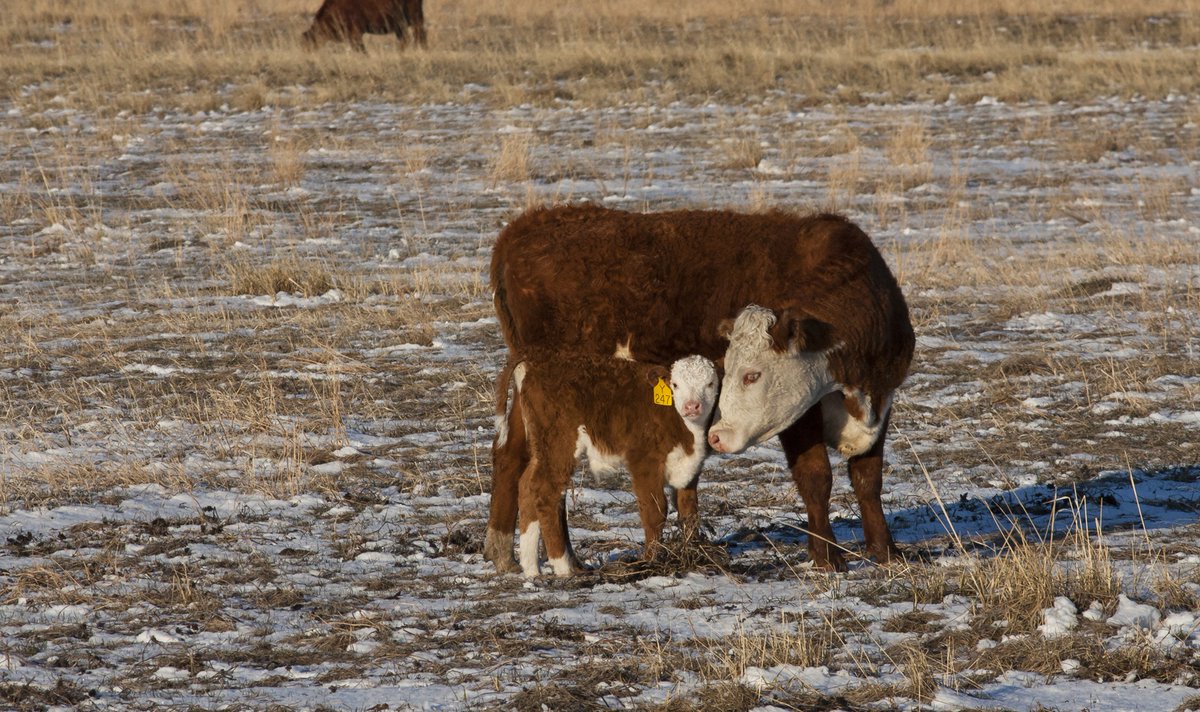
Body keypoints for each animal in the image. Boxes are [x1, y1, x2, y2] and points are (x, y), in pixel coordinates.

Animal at [499, 352, 720, 573]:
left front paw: (695, 553)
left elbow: (689, 510)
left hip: (542, 447)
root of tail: (530, 362)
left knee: (527, 485)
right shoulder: (643, 461)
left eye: (710, 383)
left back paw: (531, 569)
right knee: (546, 492)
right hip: (559, 442)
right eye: (675, 385)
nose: (692, 406)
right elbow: (655, 512)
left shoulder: (691, 468)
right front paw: (650, 561)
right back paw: (563, 567)